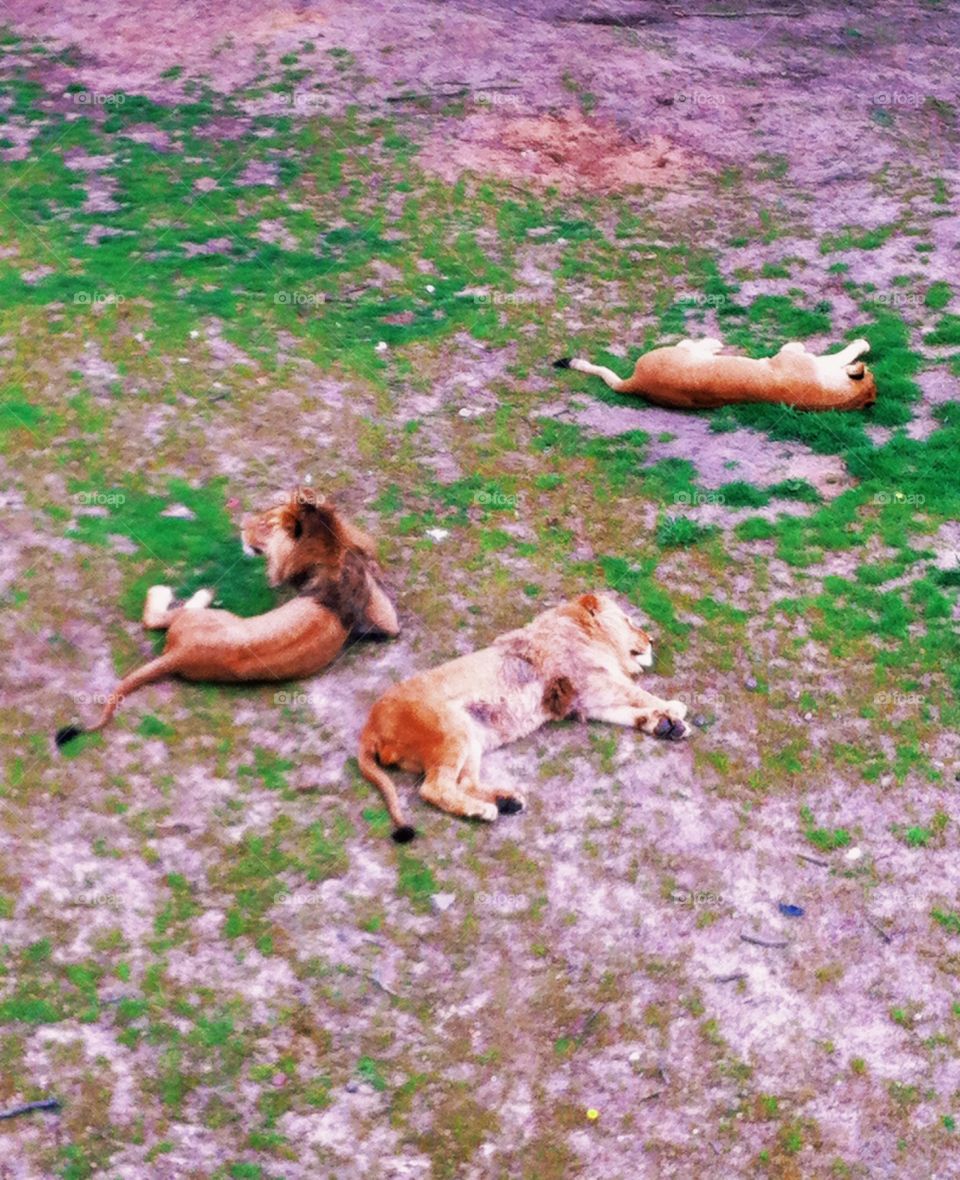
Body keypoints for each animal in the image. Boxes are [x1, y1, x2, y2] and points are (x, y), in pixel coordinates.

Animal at [55, 488, 399, 746]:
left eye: (267, 524)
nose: (243, 527)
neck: (331, 551)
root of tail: (179, 654)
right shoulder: (385, 615)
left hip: (212, 616)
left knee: (159, 617)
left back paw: (187, 592)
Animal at [358, 592, 688, 842]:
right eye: (629, 621)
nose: (652, 639)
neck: (582, 630)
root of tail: (370, 726)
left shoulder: (586, 701)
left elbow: (627, 711)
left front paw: (665, 725)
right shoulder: (590, 680)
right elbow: (637, 693)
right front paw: (674, 708)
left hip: (471, 737)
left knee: (463, 783)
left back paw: (506, 801)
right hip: (452, 731)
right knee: (434, 788)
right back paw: (484, 811)